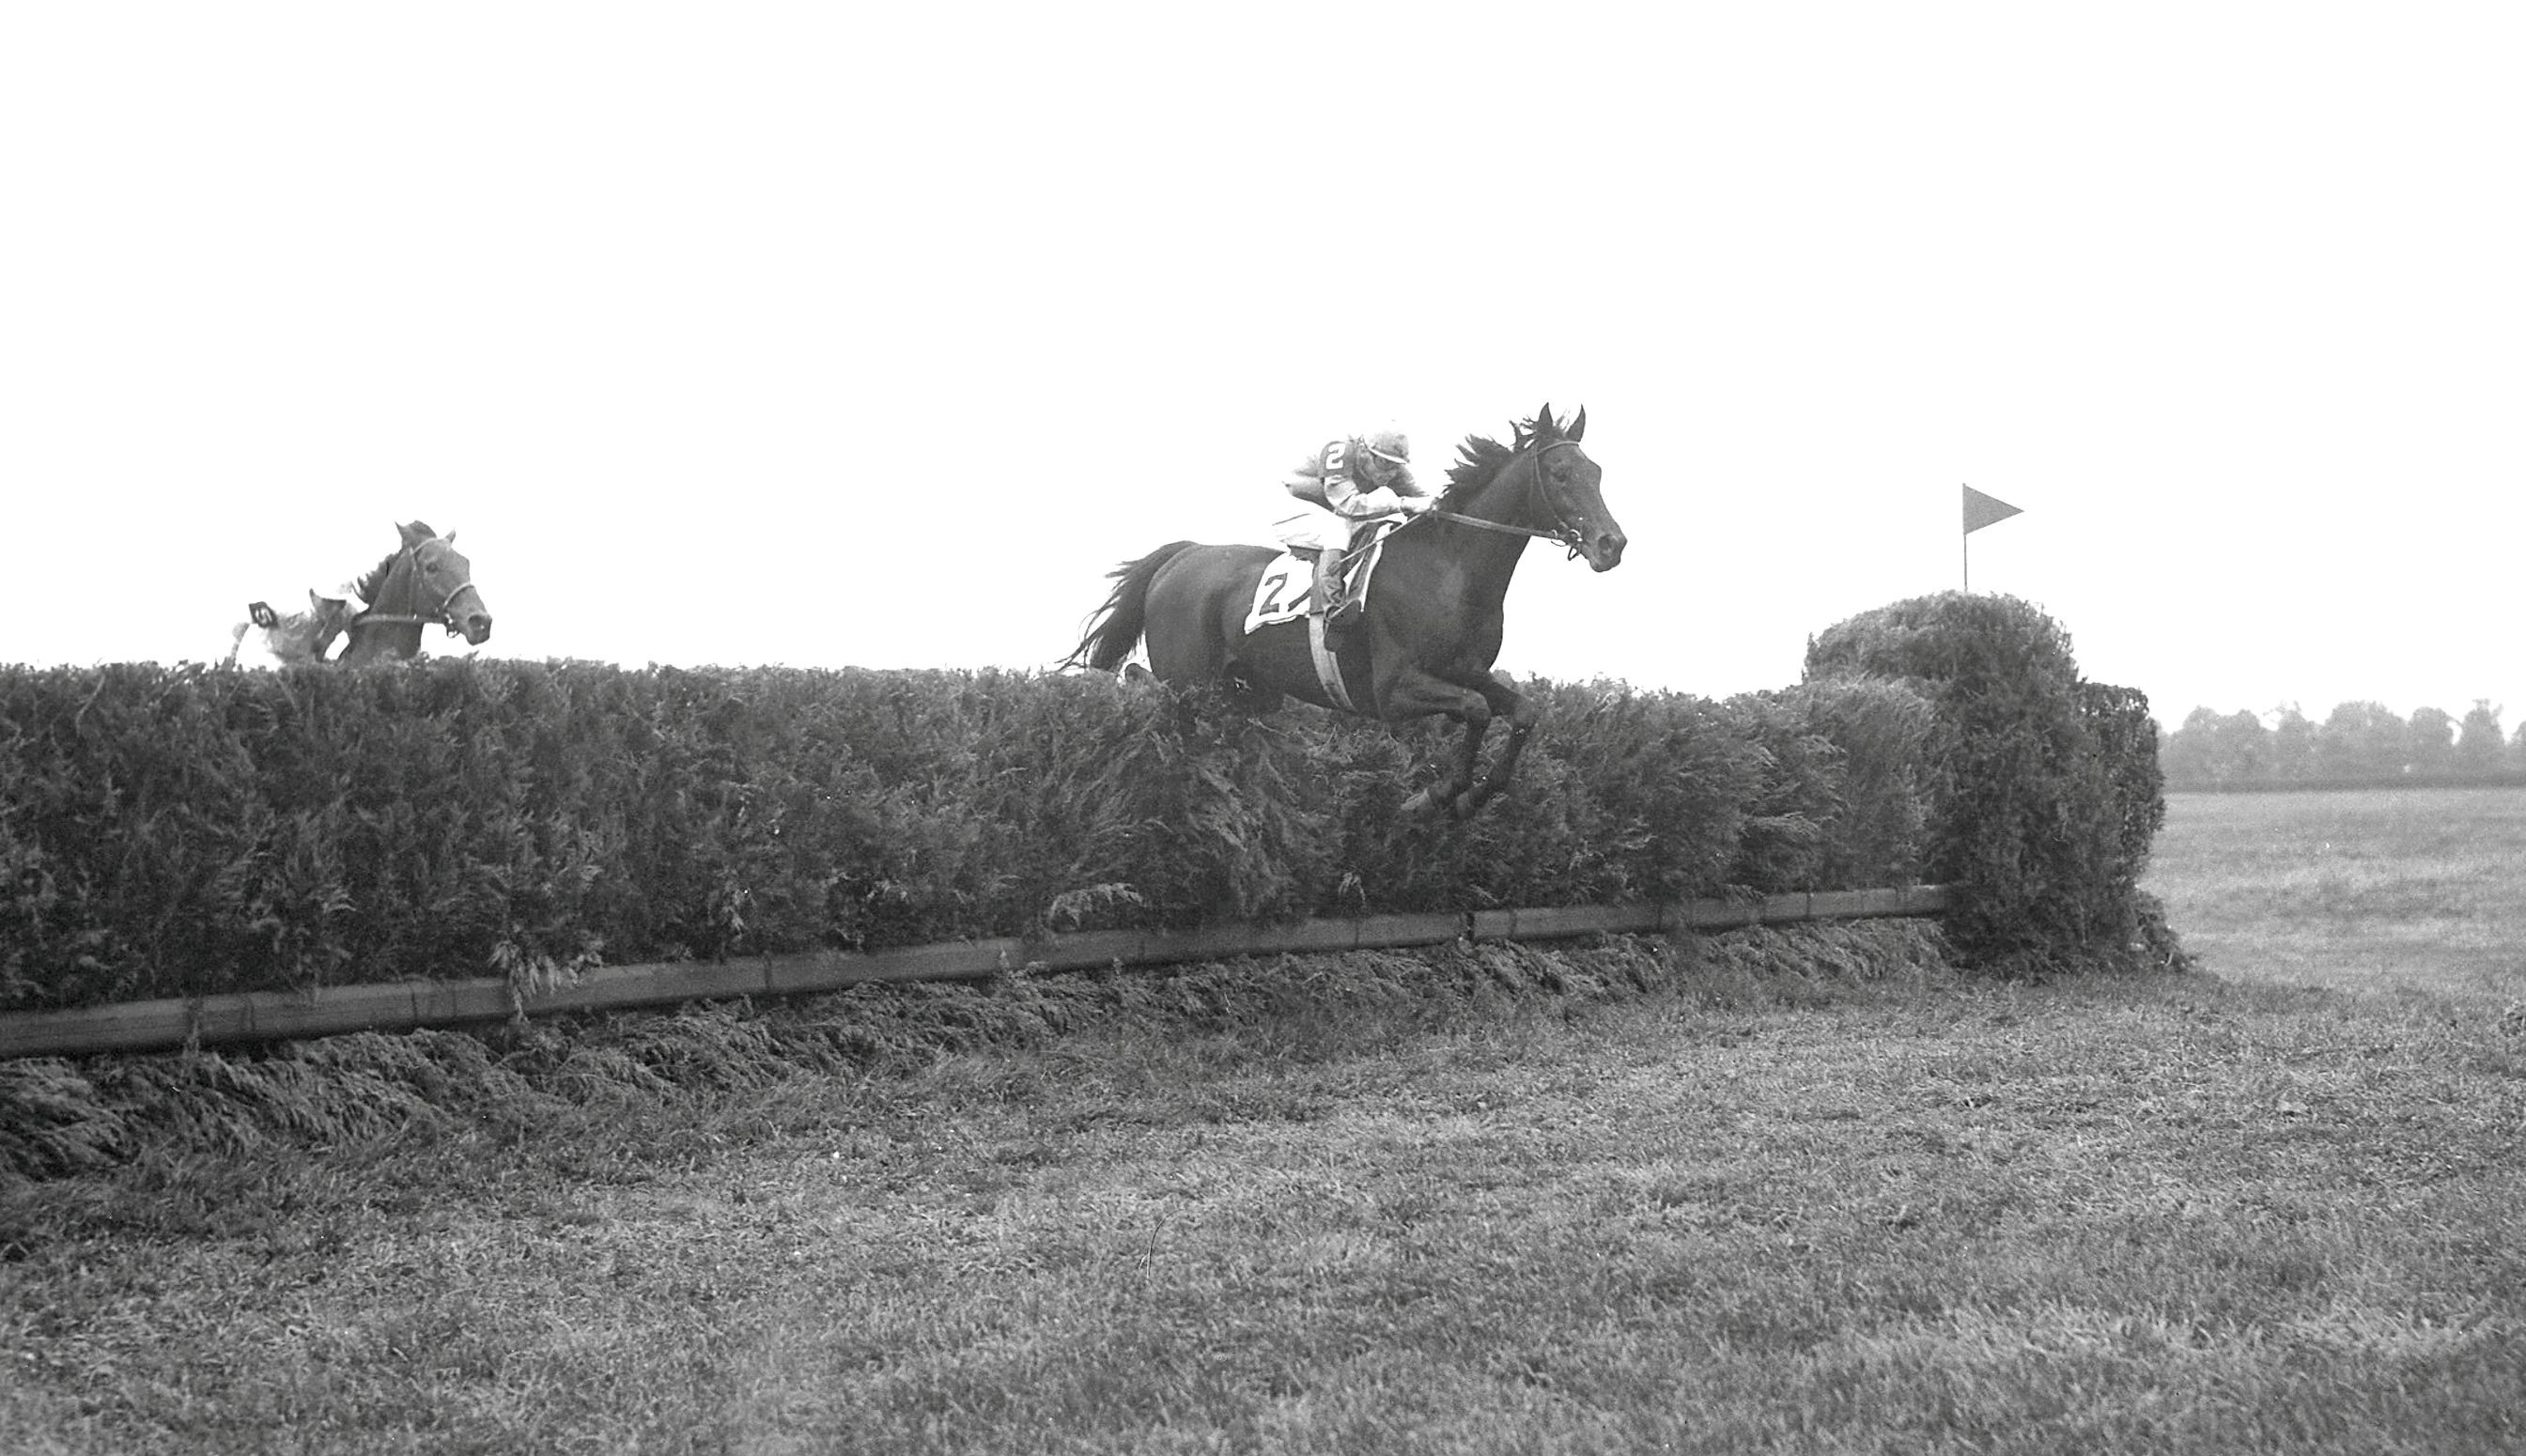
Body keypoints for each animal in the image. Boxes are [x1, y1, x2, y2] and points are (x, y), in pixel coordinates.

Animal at [1061, 407, 1616, 818]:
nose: (1613, 544)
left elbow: (1523, 711)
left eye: (1597, 472)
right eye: (1561, 474)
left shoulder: (1464, 670)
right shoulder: (1393, 692)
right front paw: (1431, 796)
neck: (1449, 568)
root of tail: (1184, 555)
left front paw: (1472, 797)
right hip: (1186, 679)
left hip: (1249, 690)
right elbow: (1477, 710)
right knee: (1145, 684)